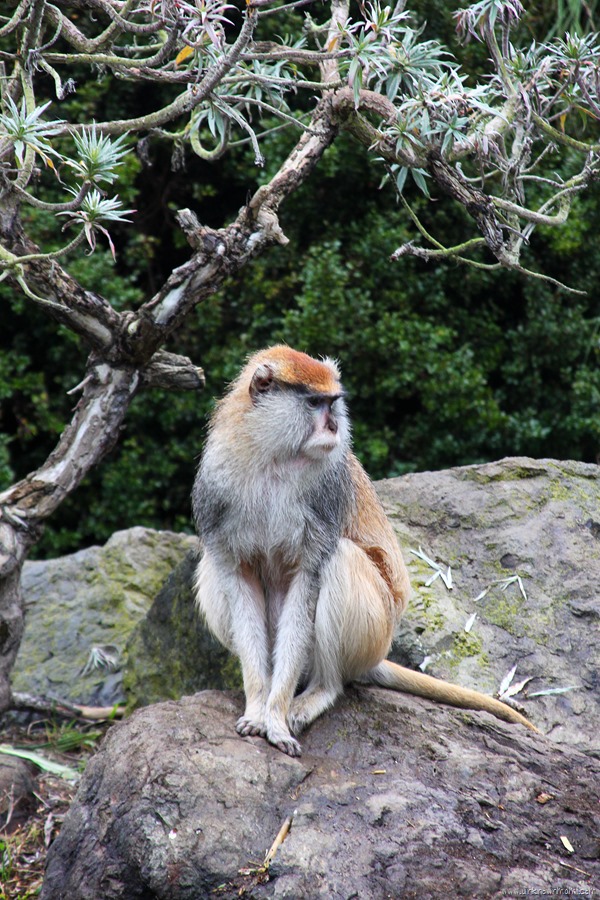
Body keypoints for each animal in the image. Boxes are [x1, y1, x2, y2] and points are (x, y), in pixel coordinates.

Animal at [192, 345, 537, 757]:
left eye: (333, 404)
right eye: (314, 403)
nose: (334, 428)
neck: (273, 456)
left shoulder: (327, 496)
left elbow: (309, 578)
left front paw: (275, 718)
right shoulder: (216, 493)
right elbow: (237, 576)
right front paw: (258, 709)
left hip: (375, 632)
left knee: (341, 560)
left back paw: (322, 689)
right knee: (210, 566)